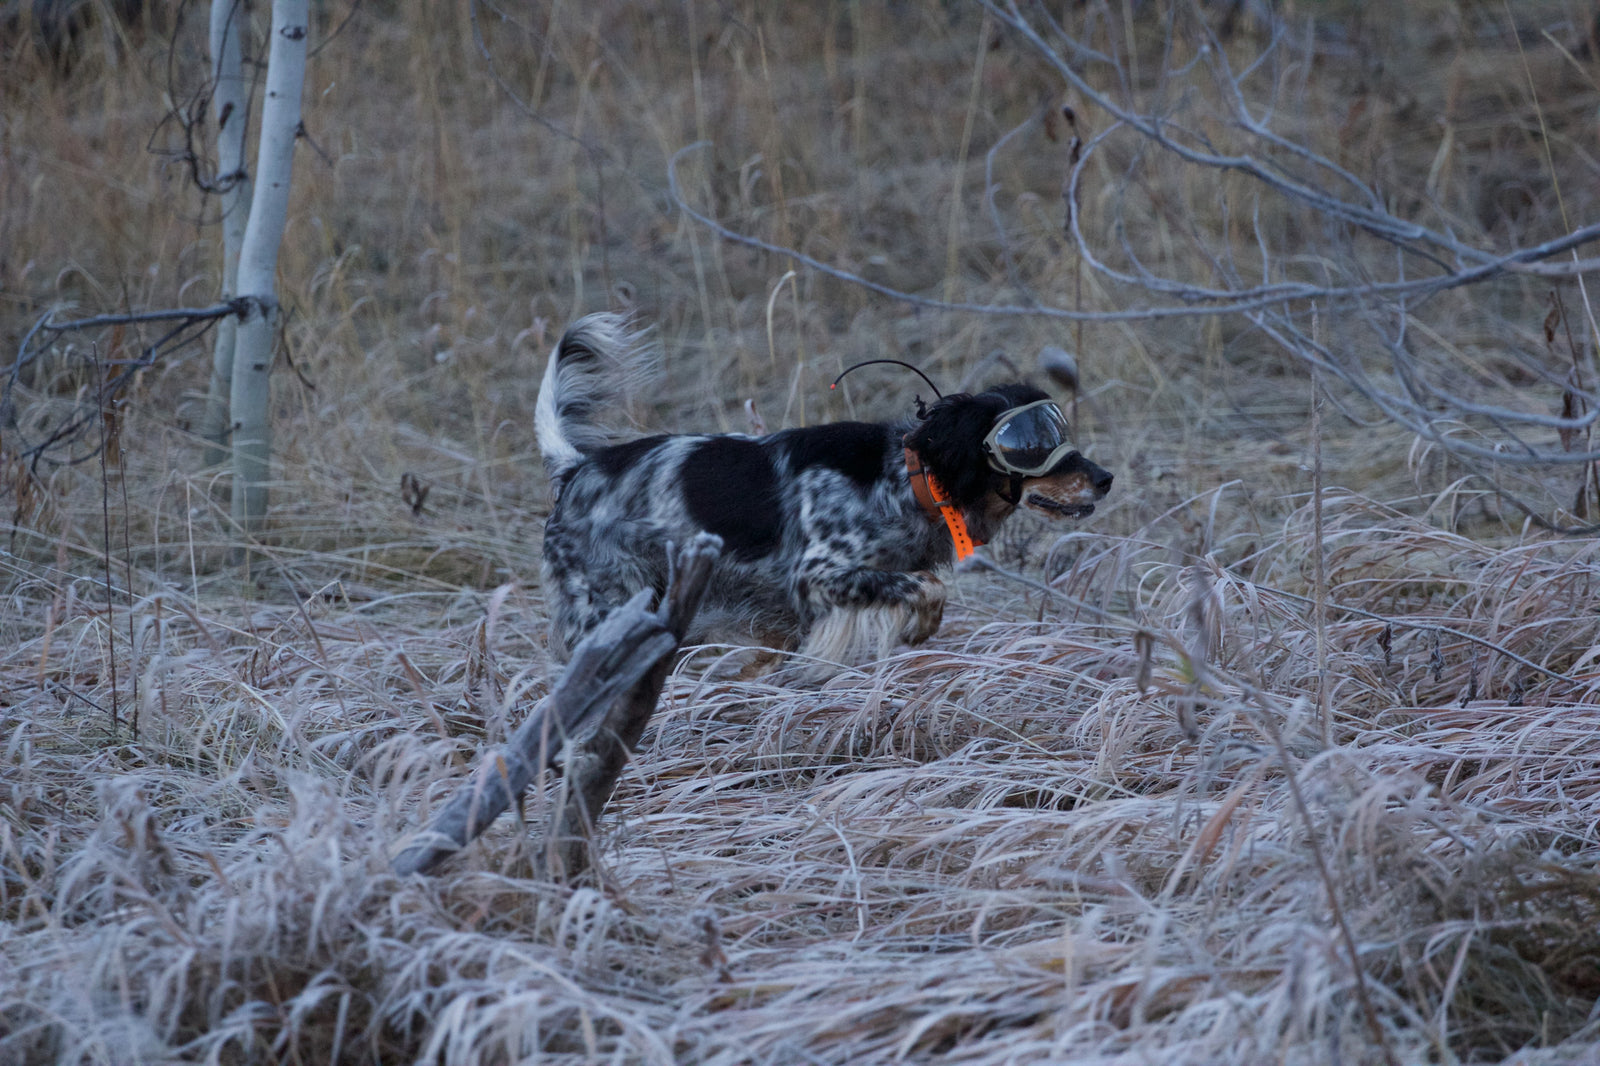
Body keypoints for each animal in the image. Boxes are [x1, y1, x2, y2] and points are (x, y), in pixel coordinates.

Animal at [537, 312, 1113, 669]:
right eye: (1031, 446)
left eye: (1059, 433)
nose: (1105, 479)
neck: (903, 480)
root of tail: (577, 469)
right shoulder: (817, 574)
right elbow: (928, 585)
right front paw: (918, 630)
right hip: (607, 608)